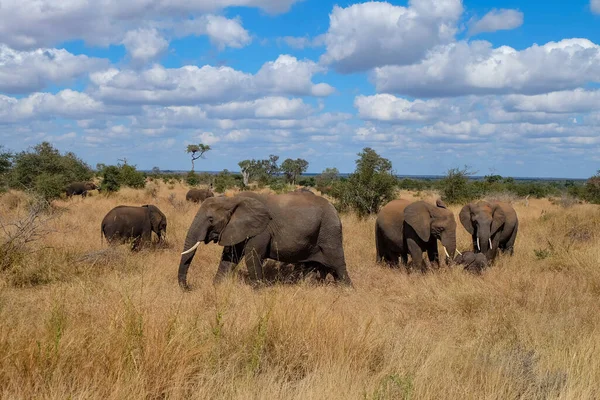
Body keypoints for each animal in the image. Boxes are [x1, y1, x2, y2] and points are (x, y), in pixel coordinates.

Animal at [177, 191, 352, 290]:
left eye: (211, 219)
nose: (189, 287)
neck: (233, 201)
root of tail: (335, 209)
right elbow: (229, 258)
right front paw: (216, 287)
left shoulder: (261, 230)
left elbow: (252, 256)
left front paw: (258, 291)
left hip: (330, 232)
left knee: (338, 265)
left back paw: (348, 291)